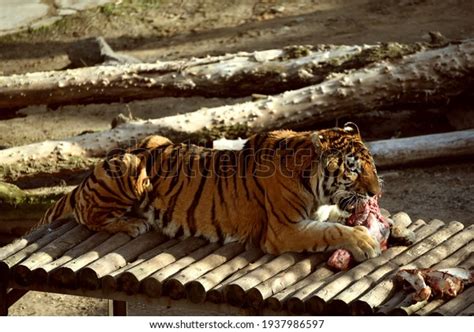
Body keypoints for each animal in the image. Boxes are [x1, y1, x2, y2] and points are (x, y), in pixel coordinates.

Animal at [36, 123, 382, 260]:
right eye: (352, 169)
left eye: (373, 166)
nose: (376, 192)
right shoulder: (284, 230)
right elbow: (331, 231)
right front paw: (364, 242)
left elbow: (336, 219)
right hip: (131, 168)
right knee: (87, 214)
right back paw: (133, 223)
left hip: (153, 141)